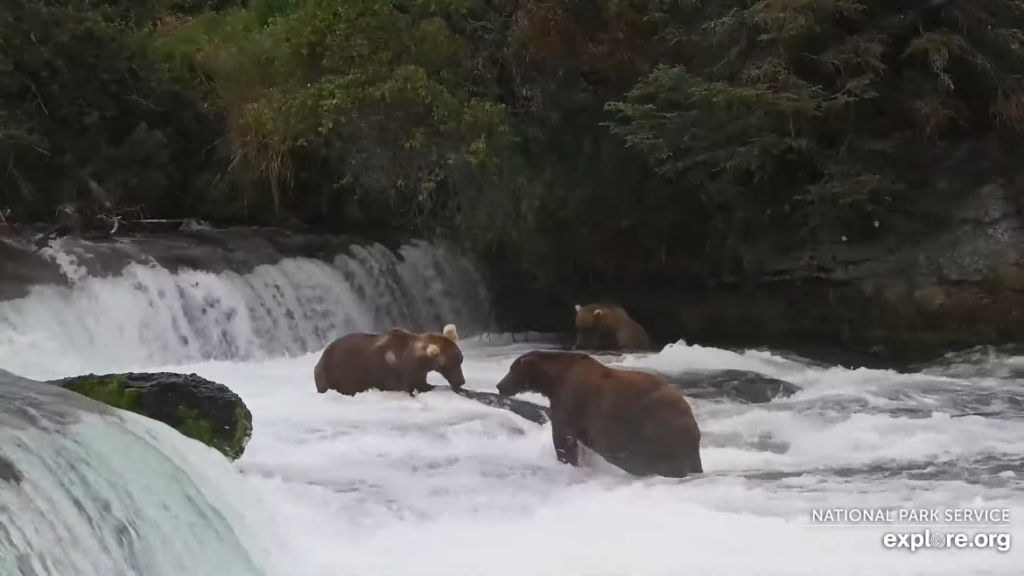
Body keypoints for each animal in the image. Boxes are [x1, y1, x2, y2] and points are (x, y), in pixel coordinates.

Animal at [311, 325, 464, 397]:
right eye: (449, 364)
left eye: (460, 360)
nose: (461, 381)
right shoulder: (395, 373)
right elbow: (404, 387)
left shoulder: (419, 373)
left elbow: (424, 384)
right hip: (334, 374)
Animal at [495, 350, 704, 475]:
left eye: (511, 369)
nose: (499, 385)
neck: (553, 382)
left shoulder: (571, 401)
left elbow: (563, 437)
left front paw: (567, 460)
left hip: (655, 424)